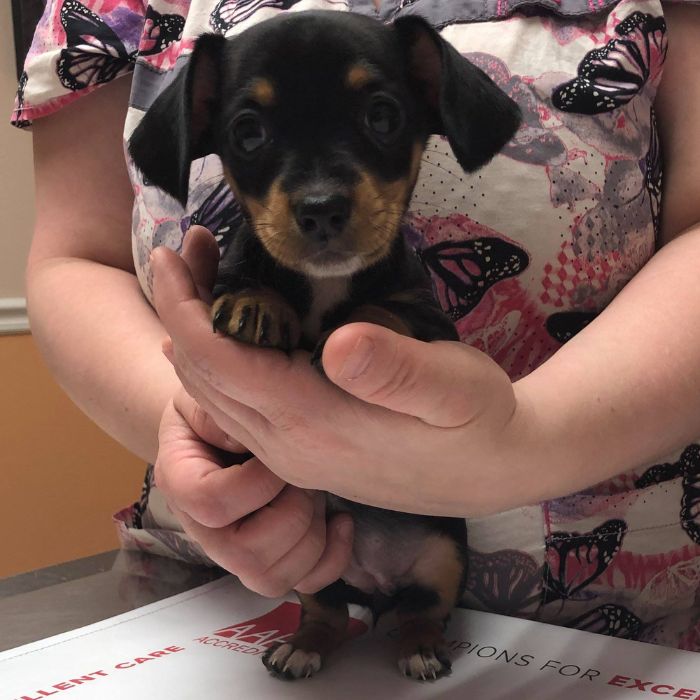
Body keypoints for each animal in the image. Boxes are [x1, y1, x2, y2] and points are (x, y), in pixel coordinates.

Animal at [131, 9, 524, 680]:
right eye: (248, 131)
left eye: (383, 116)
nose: (320, 208)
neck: (324, 282)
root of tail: (374, 581)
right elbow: (247, 278)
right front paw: (257, 304)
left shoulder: (432, 323)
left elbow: (383, 308)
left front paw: (350, 326)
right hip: (318, 576)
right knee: (329, 612)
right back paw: (302, 645)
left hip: (445, 548)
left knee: (423, 609)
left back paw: (421, 648)